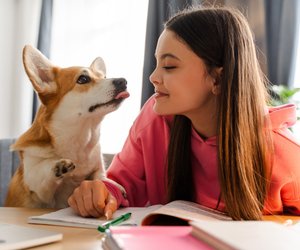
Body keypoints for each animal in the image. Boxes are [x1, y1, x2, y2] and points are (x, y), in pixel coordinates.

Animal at [4, 45, 129, 209]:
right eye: (83, 79)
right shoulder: (38, 190)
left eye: (104, 77)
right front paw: (57, 166)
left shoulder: (98, 168)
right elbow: (41, 171)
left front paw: (114, 185)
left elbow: (101, 177)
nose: (123, 81)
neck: (80, 139)